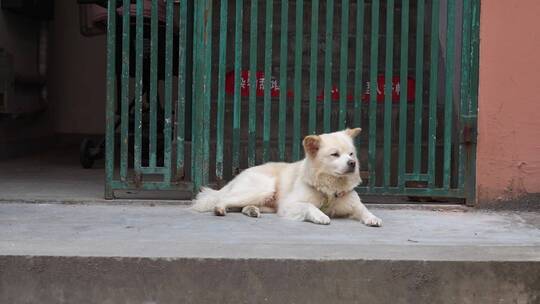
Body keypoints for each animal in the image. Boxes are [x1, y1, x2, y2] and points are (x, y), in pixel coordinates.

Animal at [192, 127, 382, 226]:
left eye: (351, 154)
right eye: (335, 154)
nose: (352, 163)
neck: (330, 188)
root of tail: (241, 174)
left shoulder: (353, 204)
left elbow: (363, 209)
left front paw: (372, 218)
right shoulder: (288, 205)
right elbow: (309, 206)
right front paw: (321, 216)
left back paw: (251, 211)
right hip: (263, 188)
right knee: (223, 199)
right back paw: (220, 209)